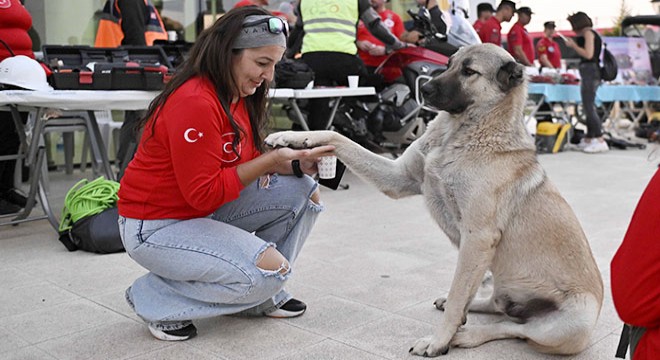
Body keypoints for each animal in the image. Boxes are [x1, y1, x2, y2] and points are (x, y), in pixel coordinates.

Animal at [266, 43, 604, 356]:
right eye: (451, 63)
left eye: (469, 71)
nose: (425, 88)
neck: (461, 134)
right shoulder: (398, 177)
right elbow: (337, 137)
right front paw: (291, 138)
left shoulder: (478, 237)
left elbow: (458, 297)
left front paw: (438, 341)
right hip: (503, 282)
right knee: (499, 307)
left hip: (571, 323)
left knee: (514, 328)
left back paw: (465, 336)